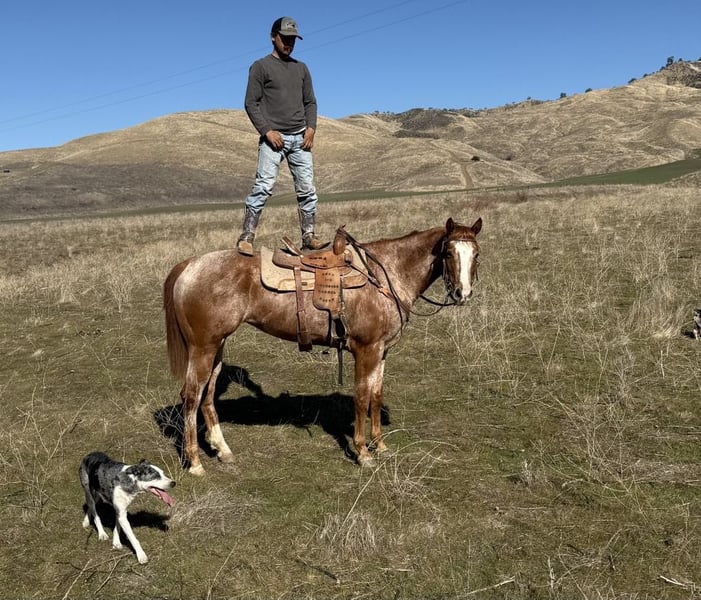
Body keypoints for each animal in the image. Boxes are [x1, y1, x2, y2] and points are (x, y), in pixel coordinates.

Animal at [163, 217, 482, 475]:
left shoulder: (383, 351)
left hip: (217, 347)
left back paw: (223, 450)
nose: (462, 294)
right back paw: (195, 462)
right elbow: (362, 398)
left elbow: (376, 396)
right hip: (203, 347)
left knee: (207, 395)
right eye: (449, 252)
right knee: (191, 396)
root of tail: (190, 265)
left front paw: (381, 446)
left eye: (476, 253)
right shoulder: (366, 350)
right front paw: (363, 453)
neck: (385, 274)